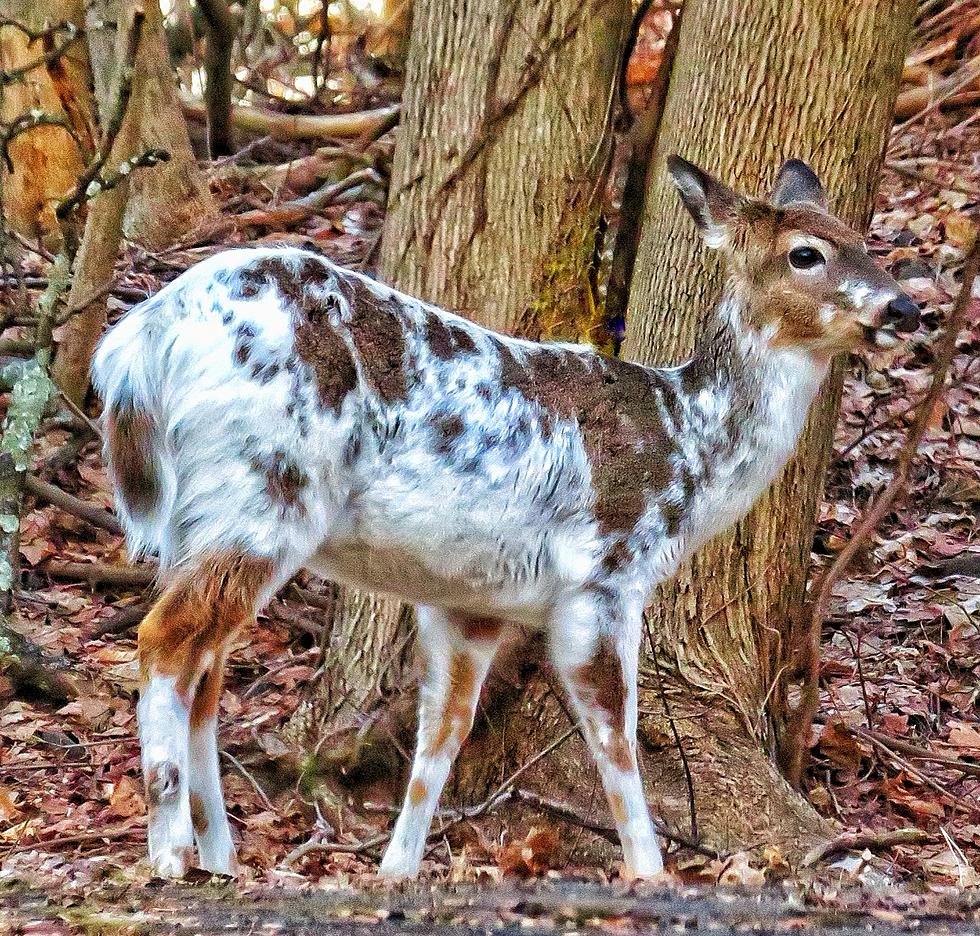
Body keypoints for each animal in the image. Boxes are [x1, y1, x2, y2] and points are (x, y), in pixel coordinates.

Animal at [90, 154, 920, 876]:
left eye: (866, 241)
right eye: (806, 253)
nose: (906, 306)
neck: (688, 442)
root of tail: (140, 341)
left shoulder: (469, 601)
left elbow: (440, 741)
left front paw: (396, 871)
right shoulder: (606, 569)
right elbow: (615, 735)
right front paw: (649, 872)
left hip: (216, 512)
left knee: (205, 666)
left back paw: (219, 858)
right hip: (263, 490)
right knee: (166, 639)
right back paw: (169, 853)